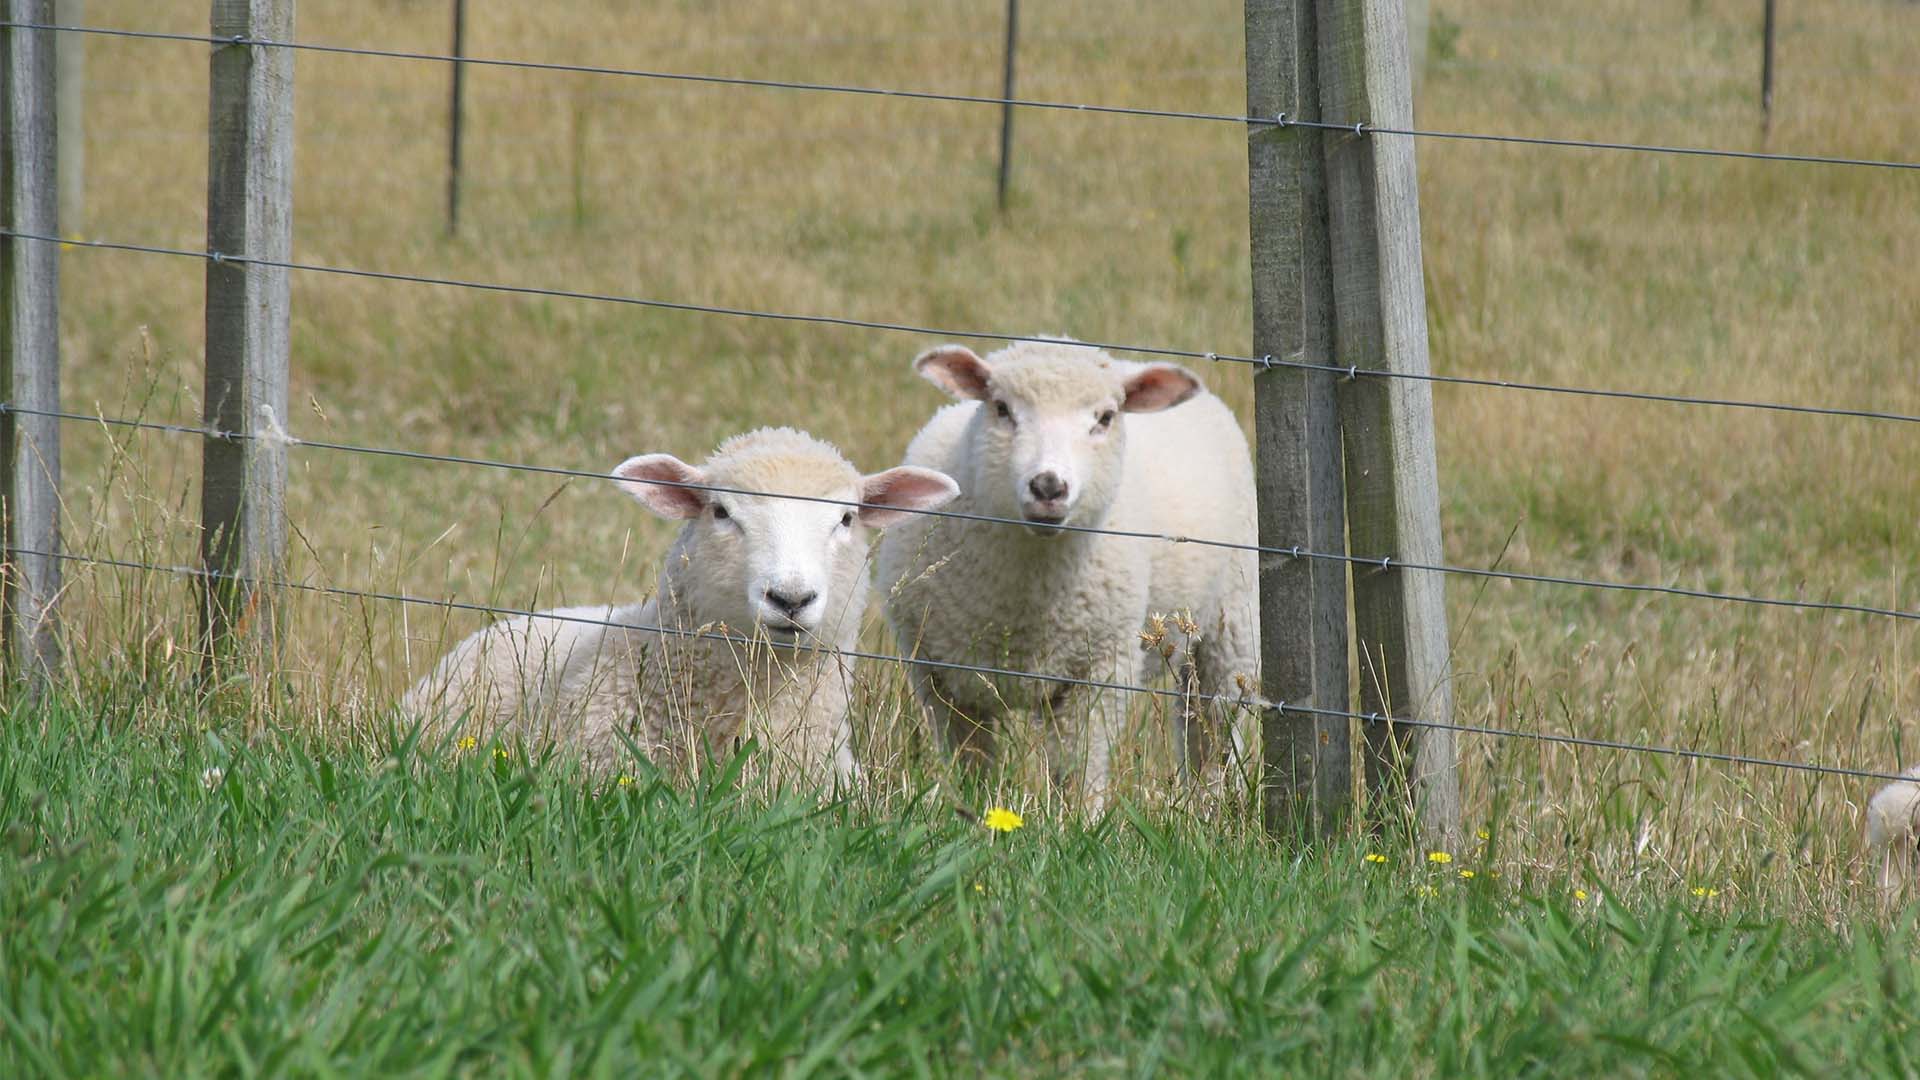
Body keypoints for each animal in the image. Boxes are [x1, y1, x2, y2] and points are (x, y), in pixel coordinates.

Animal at [873, 338, 1259, 811]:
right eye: (1001, 408)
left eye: (1105, 418)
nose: (1048, 487)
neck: (1026, 598)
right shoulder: (941, 677)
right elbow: (971, 765)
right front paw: (975, 813)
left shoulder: (1099, 673)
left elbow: (1079, 770)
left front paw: (1079, 820)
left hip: (1231, 629)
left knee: (1211, 732)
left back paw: (1206, 807)